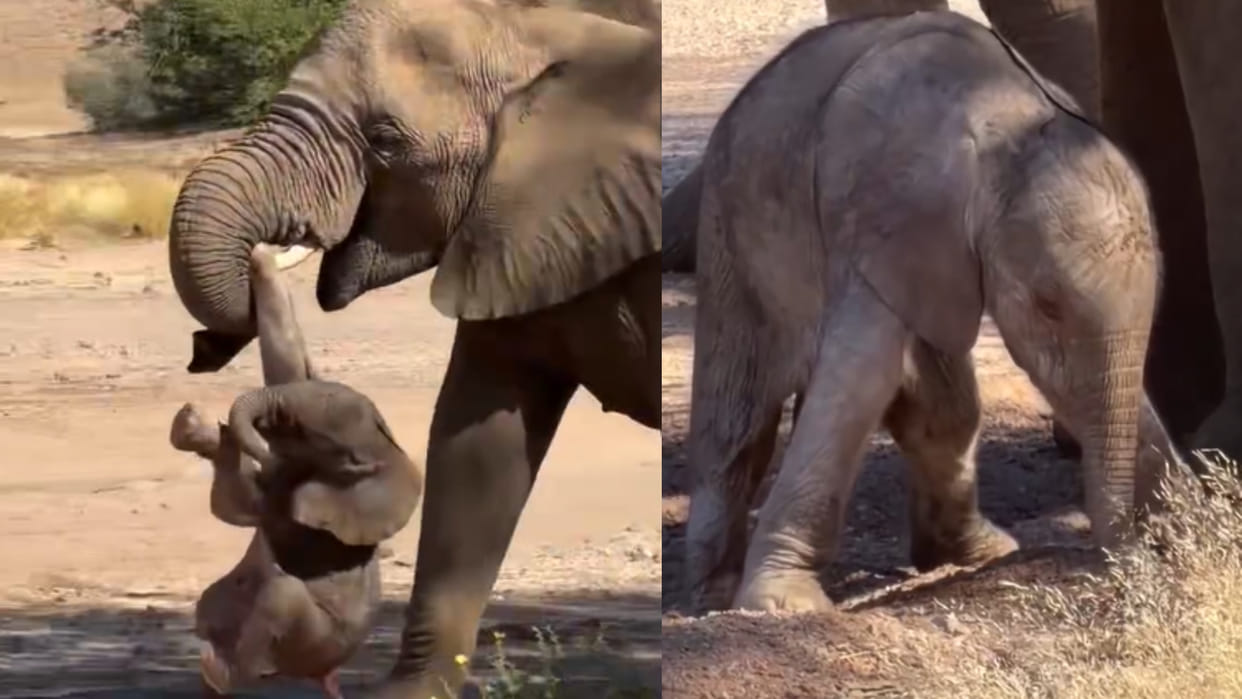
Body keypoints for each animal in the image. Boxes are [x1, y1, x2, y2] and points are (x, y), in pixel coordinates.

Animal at [169, 244, 422, 697]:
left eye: (299, 427)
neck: (385, 451)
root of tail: (325, 674)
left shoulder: (308, 509)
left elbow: (243, 507)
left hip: (314, 640)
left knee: (281, 594)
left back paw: (219, 671)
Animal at [681, 11, 1185, 614]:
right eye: (1048, 305)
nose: (1142, 552)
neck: (1008, 122)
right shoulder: (884, 213)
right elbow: (864, 374)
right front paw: (784, 605)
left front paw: (1198, 518)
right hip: (730, 235)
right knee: (736, 418)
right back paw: (711, 589)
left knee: (943, 410)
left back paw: (979, 551)